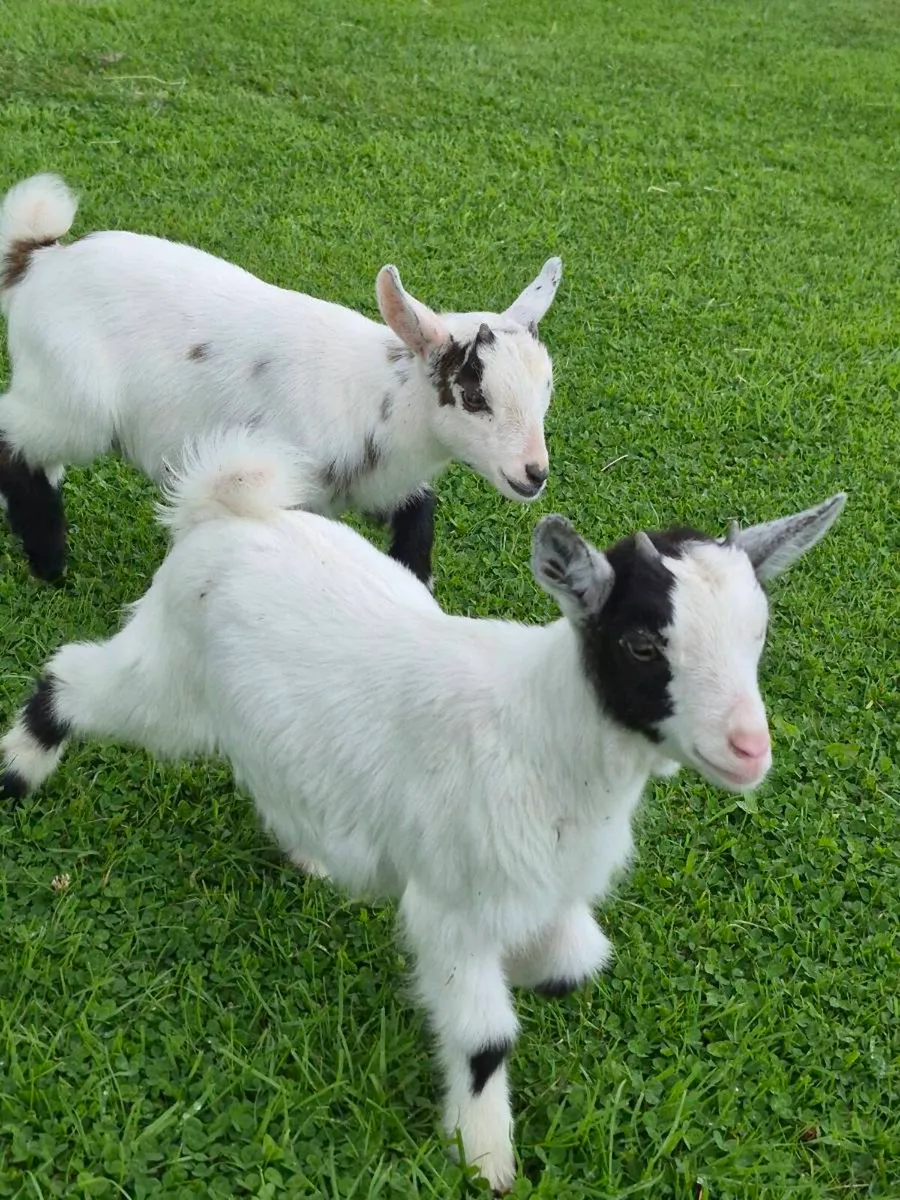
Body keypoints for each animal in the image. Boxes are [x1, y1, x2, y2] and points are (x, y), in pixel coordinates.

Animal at [0, 173, 562, 584]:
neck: (379, 397)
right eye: (473, 395)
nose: (535, 473)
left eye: (545, 392)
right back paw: (50, 563)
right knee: (14, 442)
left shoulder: (377, 486)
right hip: (74, 403)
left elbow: (418, 513)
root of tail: (39, 259)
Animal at [0, 428, 845, 1192]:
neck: (542, 735)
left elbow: (578, 965)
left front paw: (536, 971)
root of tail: (225, 509)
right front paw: (485, 1156)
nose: (748, 748)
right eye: (641, 643)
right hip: (168, 679)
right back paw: (18, 768)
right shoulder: (453, 906)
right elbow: (485, 1038)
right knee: (75, 678)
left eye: (758, 632)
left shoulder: (546, 885)